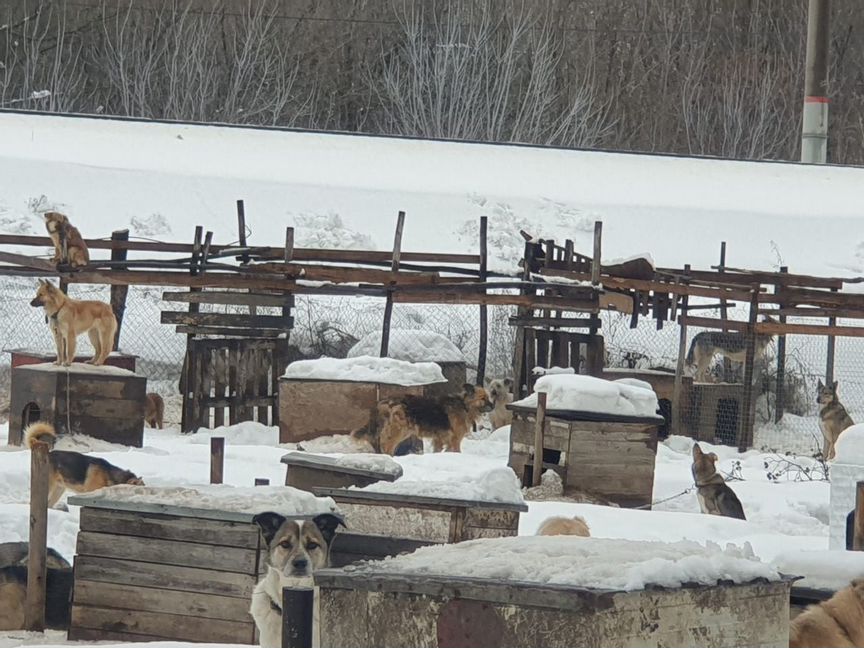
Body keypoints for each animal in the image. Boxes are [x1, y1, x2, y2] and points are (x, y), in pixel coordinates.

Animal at [352, 384, 492, 456]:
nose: (493, 405)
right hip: (399, 430)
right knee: (386, 445)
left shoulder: (439, 439)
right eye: (483, 398)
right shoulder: (455, 439)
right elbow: (456, 451)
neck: (464, 405)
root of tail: (384, 402)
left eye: (488, 397)